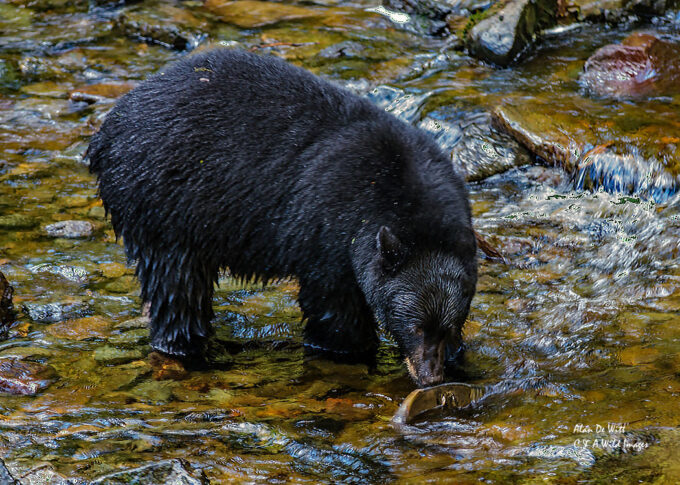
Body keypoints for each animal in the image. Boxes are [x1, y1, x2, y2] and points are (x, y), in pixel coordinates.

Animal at [86, 48, 478, 387]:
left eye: (448, 326)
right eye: (414, 328)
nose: (430, 378)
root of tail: (107, 129)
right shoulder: (330, 230)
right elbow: (333, 306)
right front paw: (350, 349)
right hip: (163, 210)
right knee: (177, 290)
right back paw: (185, 348)